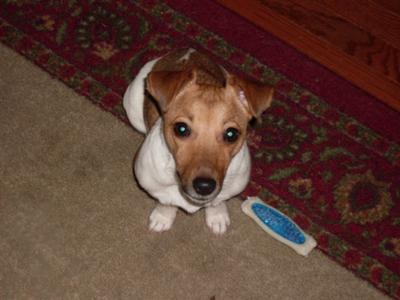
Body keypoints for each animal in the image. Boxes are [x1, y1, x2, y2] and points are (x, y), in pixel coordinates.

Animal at [123, 48, 274, 234]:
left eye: (231, 134)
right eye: (181, 129)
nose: (204, 186)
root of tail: (188, 51)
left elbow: (217, 202)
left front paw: (217, 215)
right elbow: (166, 202)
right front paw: (163, 217)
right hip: (132, 109)